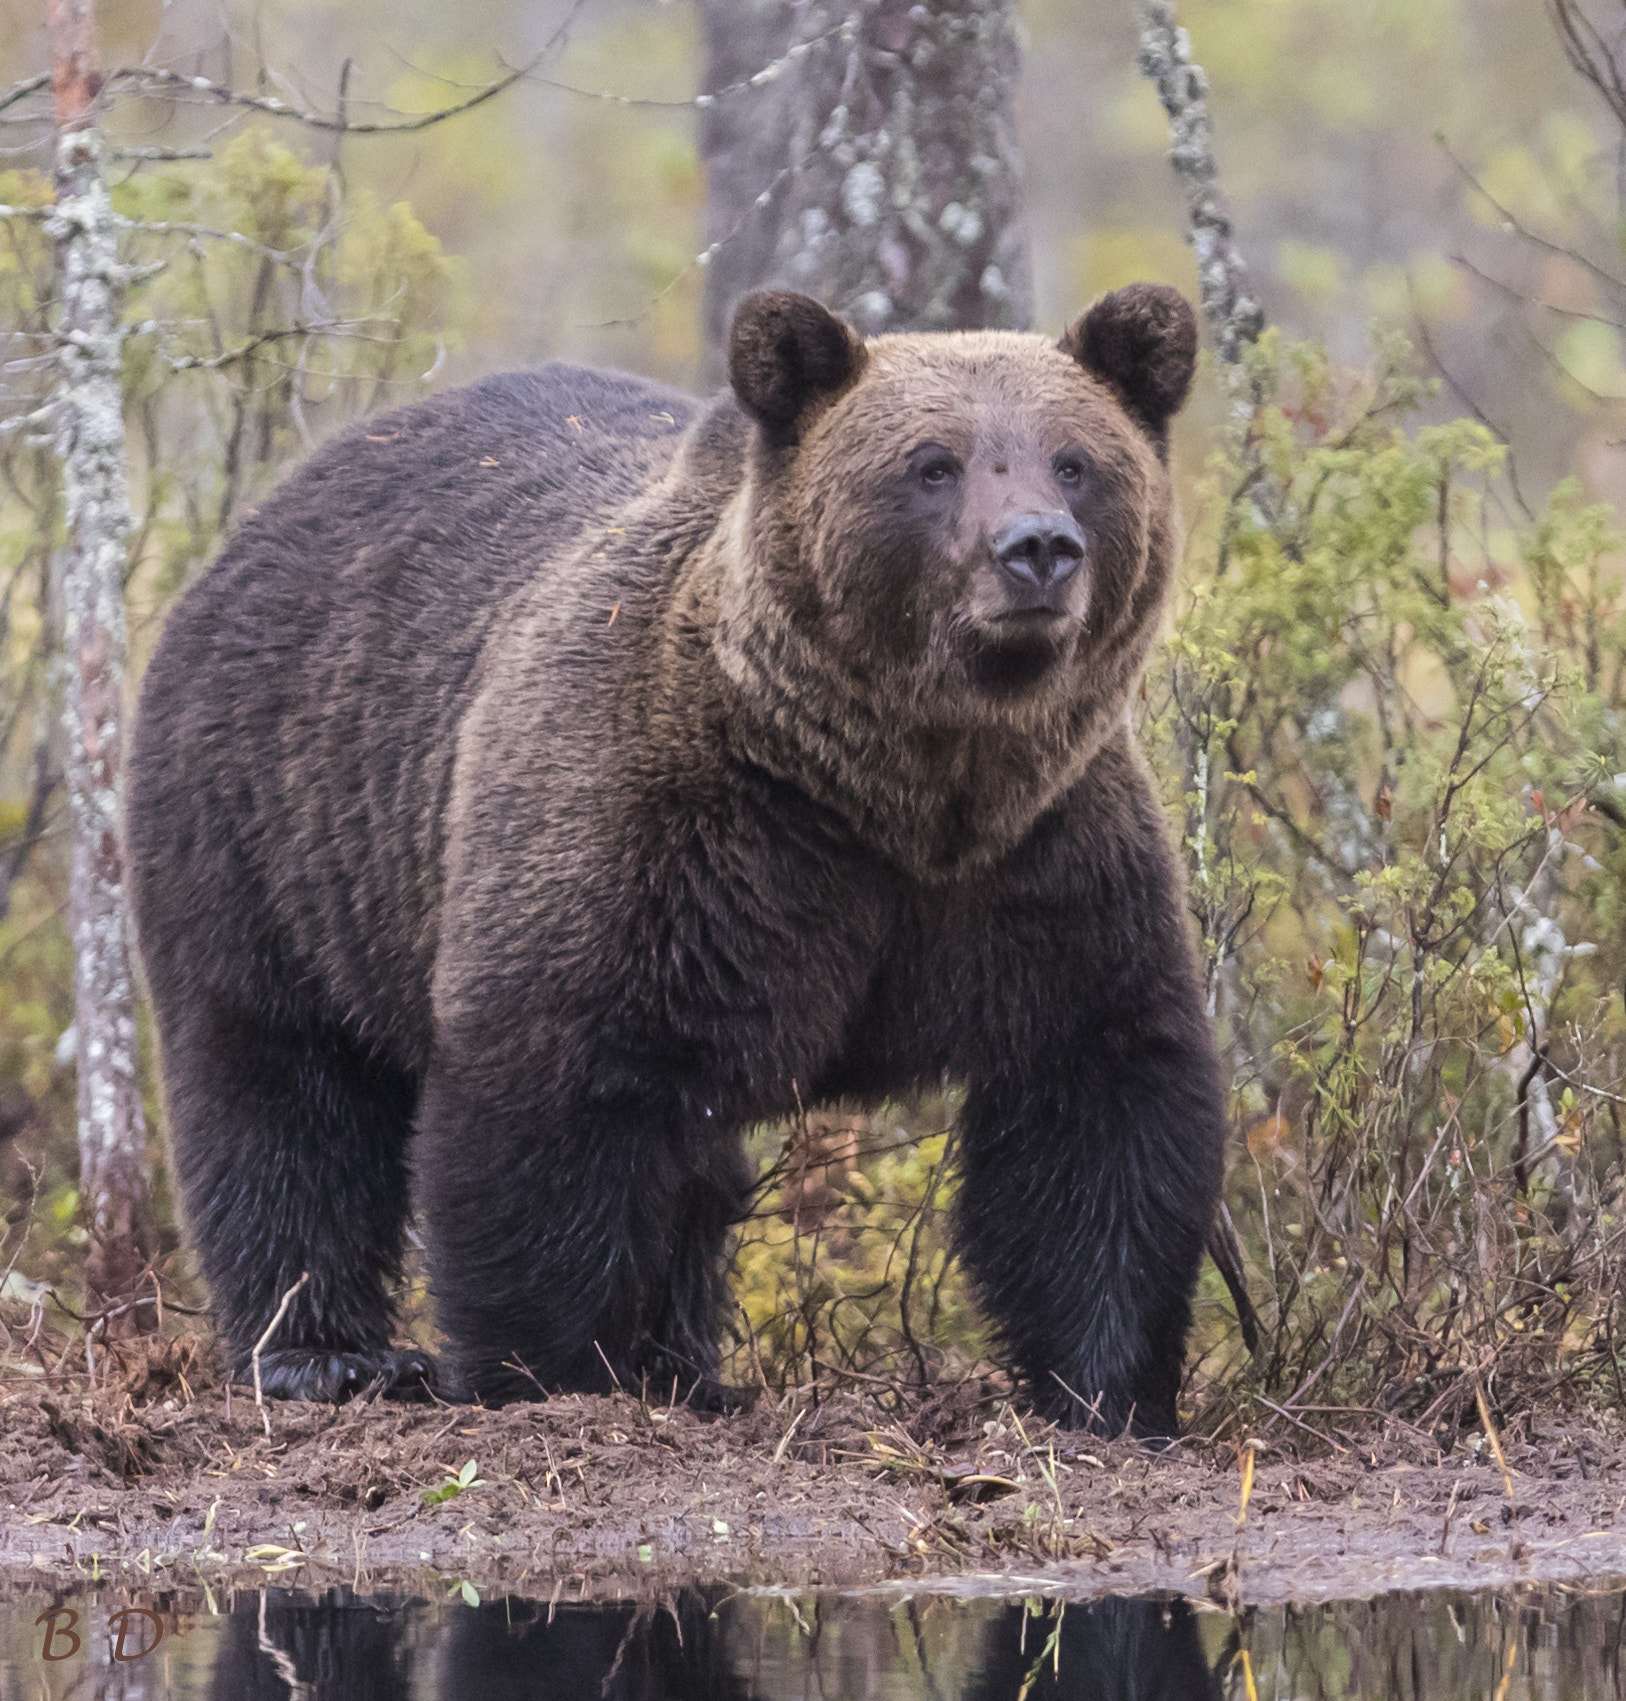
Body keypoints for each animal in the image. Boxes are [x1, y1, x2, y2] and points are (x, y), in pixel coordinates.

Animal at [126, 282, 1217, 1435]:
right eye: (933, 464)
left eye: (1075, 460)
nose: (1038, 549)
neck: (891, 787)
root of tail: (273, 504)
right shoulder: (672, 837)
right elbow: (556, 1092)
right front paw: (551, 1370)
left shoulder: (1042, 865)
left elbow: (1098, 1100)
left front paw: (1109, 1389)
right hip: (272, 824)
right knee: (279, 1084)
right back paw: (323, 1352)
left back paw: (689, 1365)